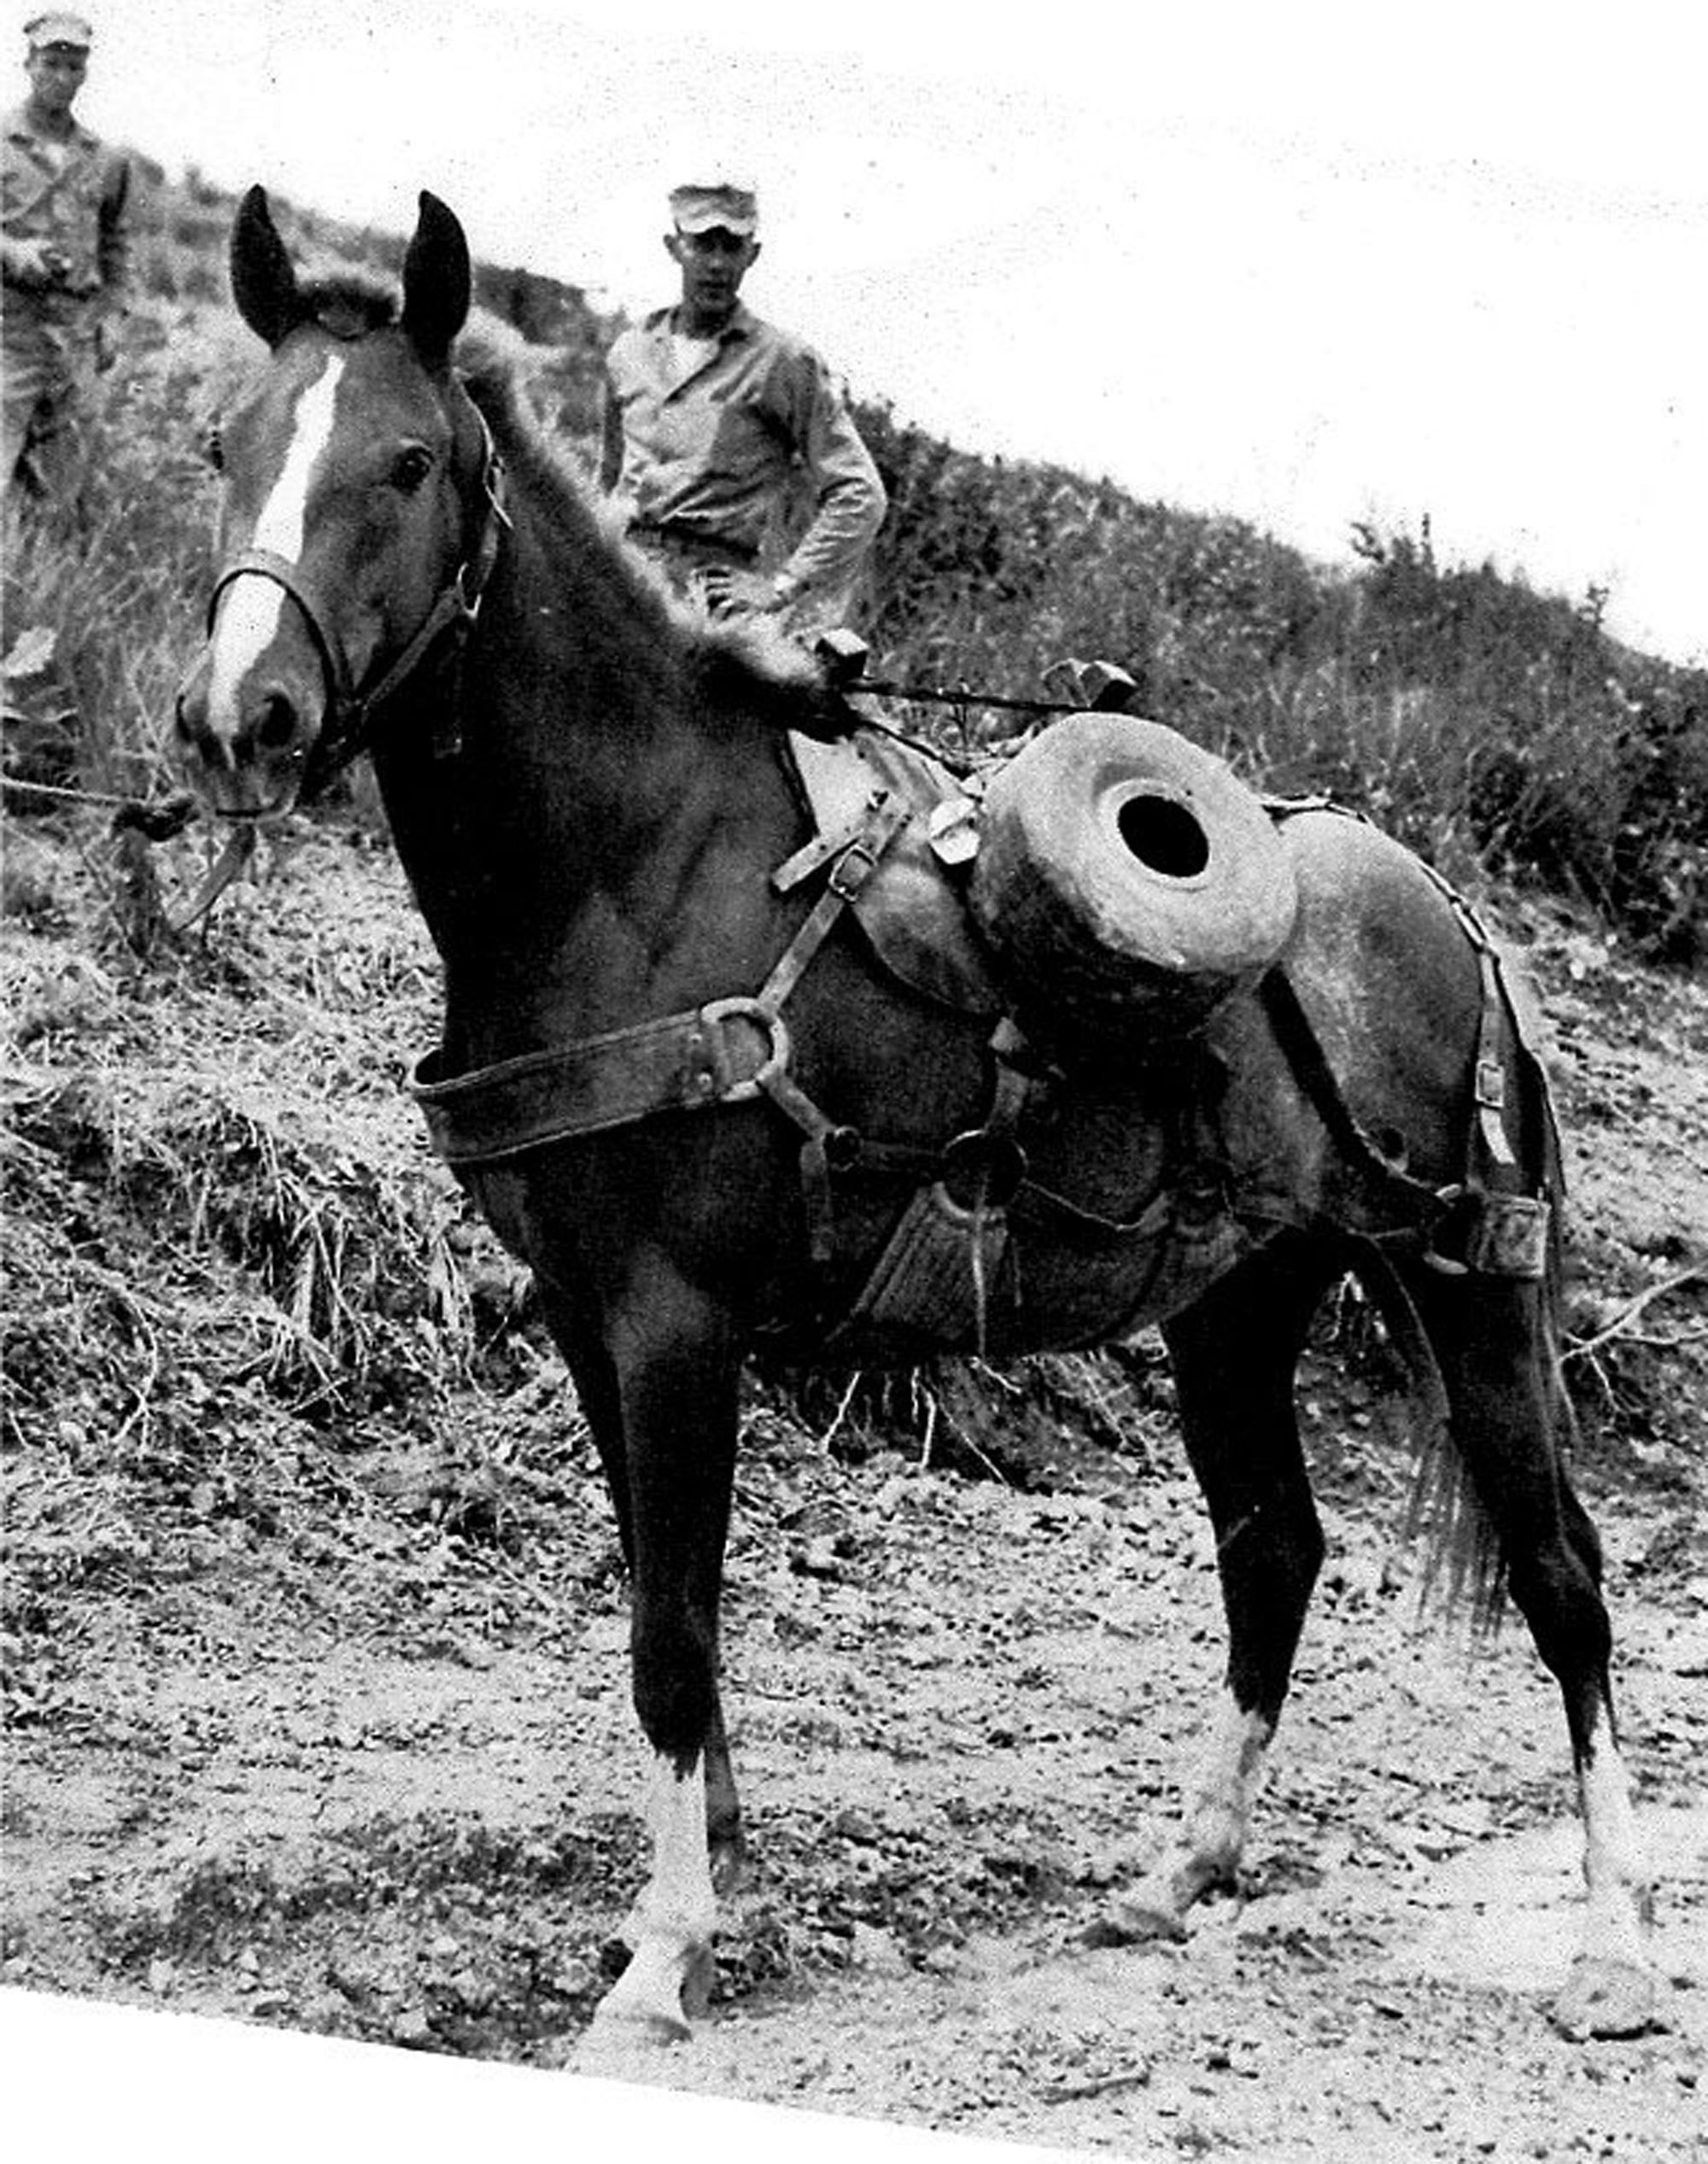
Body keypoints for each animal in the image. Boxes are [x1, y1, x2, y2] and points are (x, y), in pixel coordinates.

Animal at [179, 190, 1662, 2060]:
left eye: (409, 461)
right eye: (224, 443)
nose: (241, 718)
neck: (638, 866)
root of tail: (1455, 918)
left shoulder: (678, 1322)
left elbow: (669, 1627)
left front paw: (663, 1955)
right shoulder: (591, 1320)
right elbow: (670, 1609)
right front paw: (704, 1886)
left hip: (1471, 1284)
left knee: (1560, 1570)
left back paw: (1610, 1942)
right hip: (1240, 1303)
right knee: (1276, 1547)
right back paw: (1184, 1869)